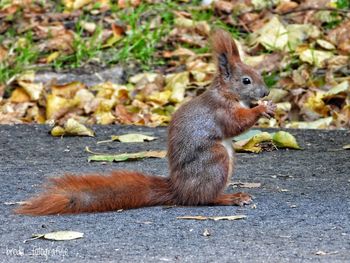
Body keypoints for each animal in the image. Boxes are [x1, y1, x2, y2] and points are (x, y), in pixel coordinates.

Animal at [14, 29, 276, 217]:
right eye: (246, 80)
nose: (265, 92)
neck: (227, 93)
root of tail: (179, 190)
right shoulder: (220, 111)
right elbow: (235, 124)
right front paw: (263, 108)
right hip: (216, 159)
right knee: (203, 199)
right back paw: (231, 198)